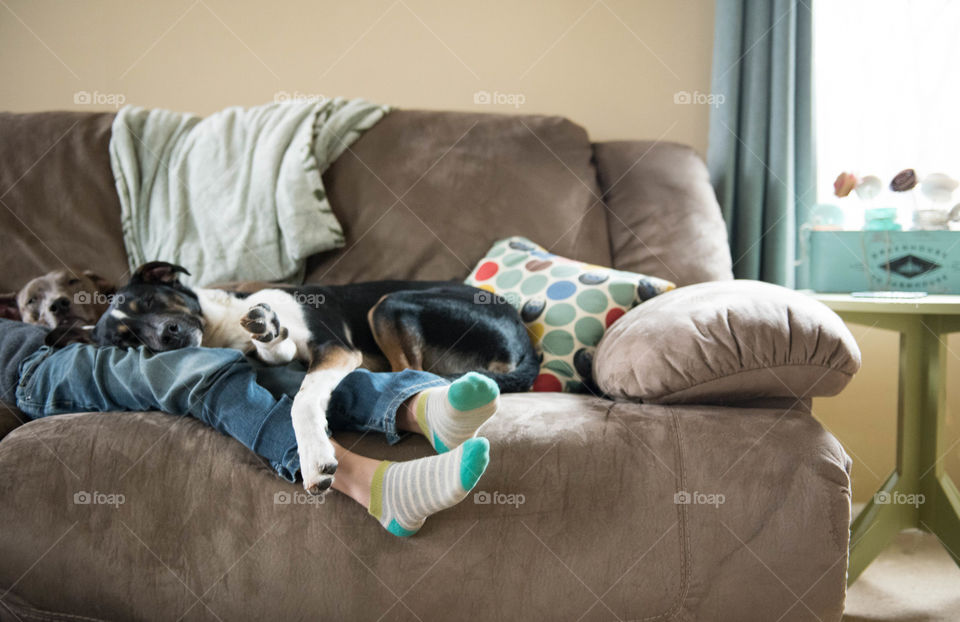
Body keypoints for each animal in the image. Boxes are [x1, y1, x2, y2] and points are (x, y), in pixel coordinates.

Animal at [93, 260, 536, 494]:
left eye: (151, 300)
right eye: (126, 340)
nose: (168, 337)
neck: (225, 325)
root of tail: (525, 341)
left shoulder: (335, 347)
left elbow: (303, 399)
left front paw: (314, 457)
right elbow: (277, 351)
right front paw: (270, 335)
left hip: (389, 303)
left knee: (410, 370)